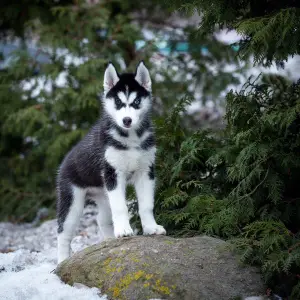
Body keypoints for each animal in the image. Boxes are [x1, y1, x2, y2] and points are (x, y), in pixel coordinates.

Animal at [55, 61, 166, 262]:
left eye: (136, 102)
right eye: (119, 103)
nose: (127, 120)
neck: (131, 138)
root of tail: (63, 162)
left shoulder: (146, 172)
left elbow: (146, 205)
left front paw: (151, 228)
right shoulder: (113, 173)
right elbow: (121, 208)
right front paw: (124, 231)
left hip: (104, 194)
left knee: (102, 218)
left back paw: (109, 241)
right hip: (73, 200)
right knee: (63, 231)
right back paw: (63, 260)